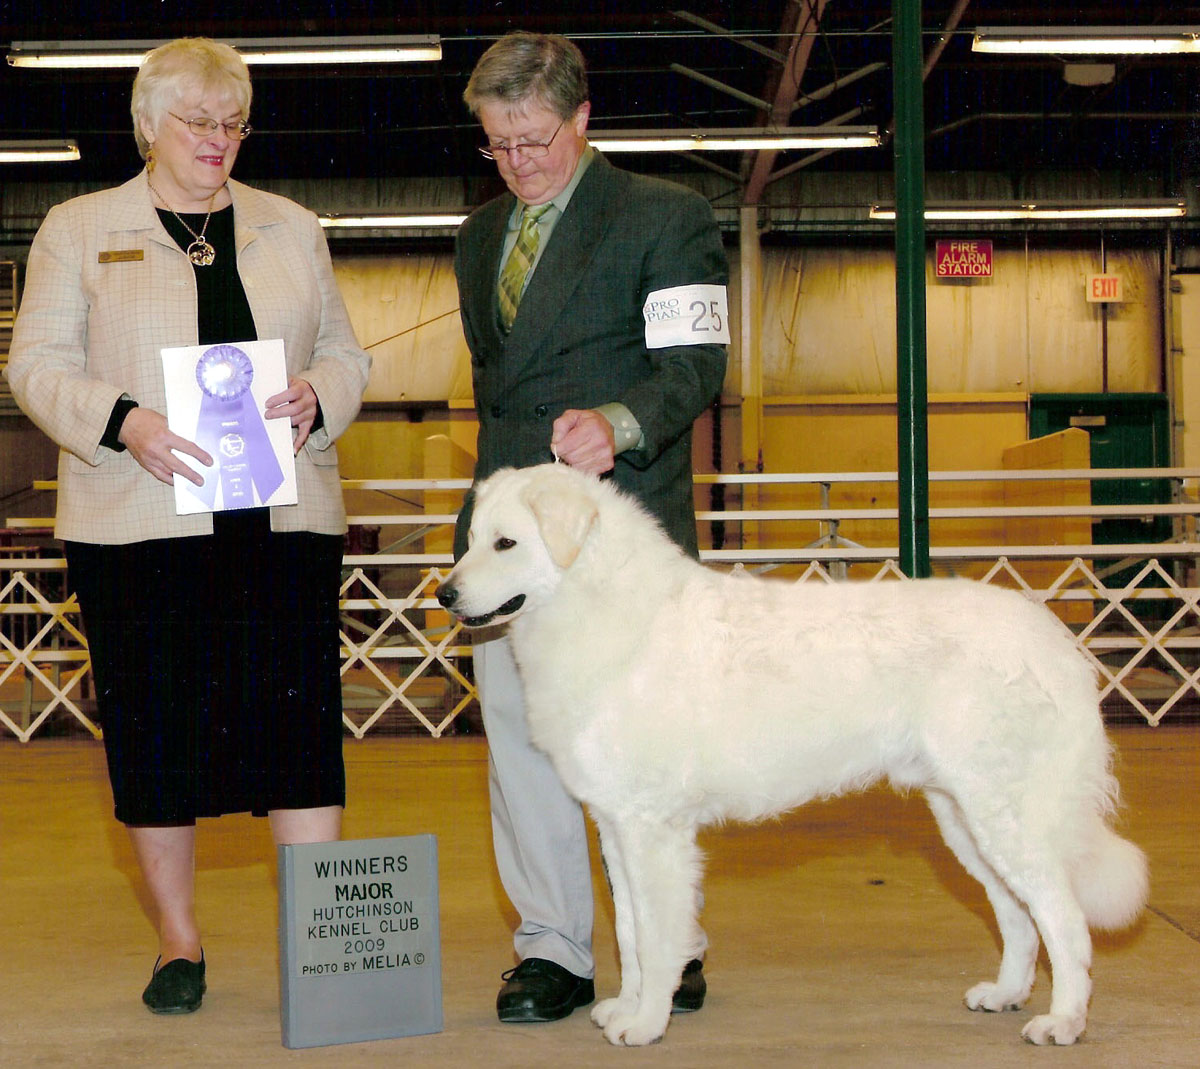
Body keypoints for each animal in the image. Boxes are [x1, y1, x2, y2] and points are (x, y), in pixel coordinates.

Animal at [436, 463, 1147, 1051]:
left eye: (506, 544)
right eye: (471, 540)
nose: (444, 595)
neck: (602, 608)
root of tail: (1052, 640)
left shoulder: (653, 831)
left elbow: (660, 937)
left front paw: (647, 1023)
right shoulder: (616, 826)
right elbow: (632, 934)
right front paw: (626, 1008)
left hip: (1006, 814)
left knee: (1063, 918)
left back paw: (1062, 1022)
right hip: (963, 817)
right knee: (1018, 914)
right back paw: (1003, 995)